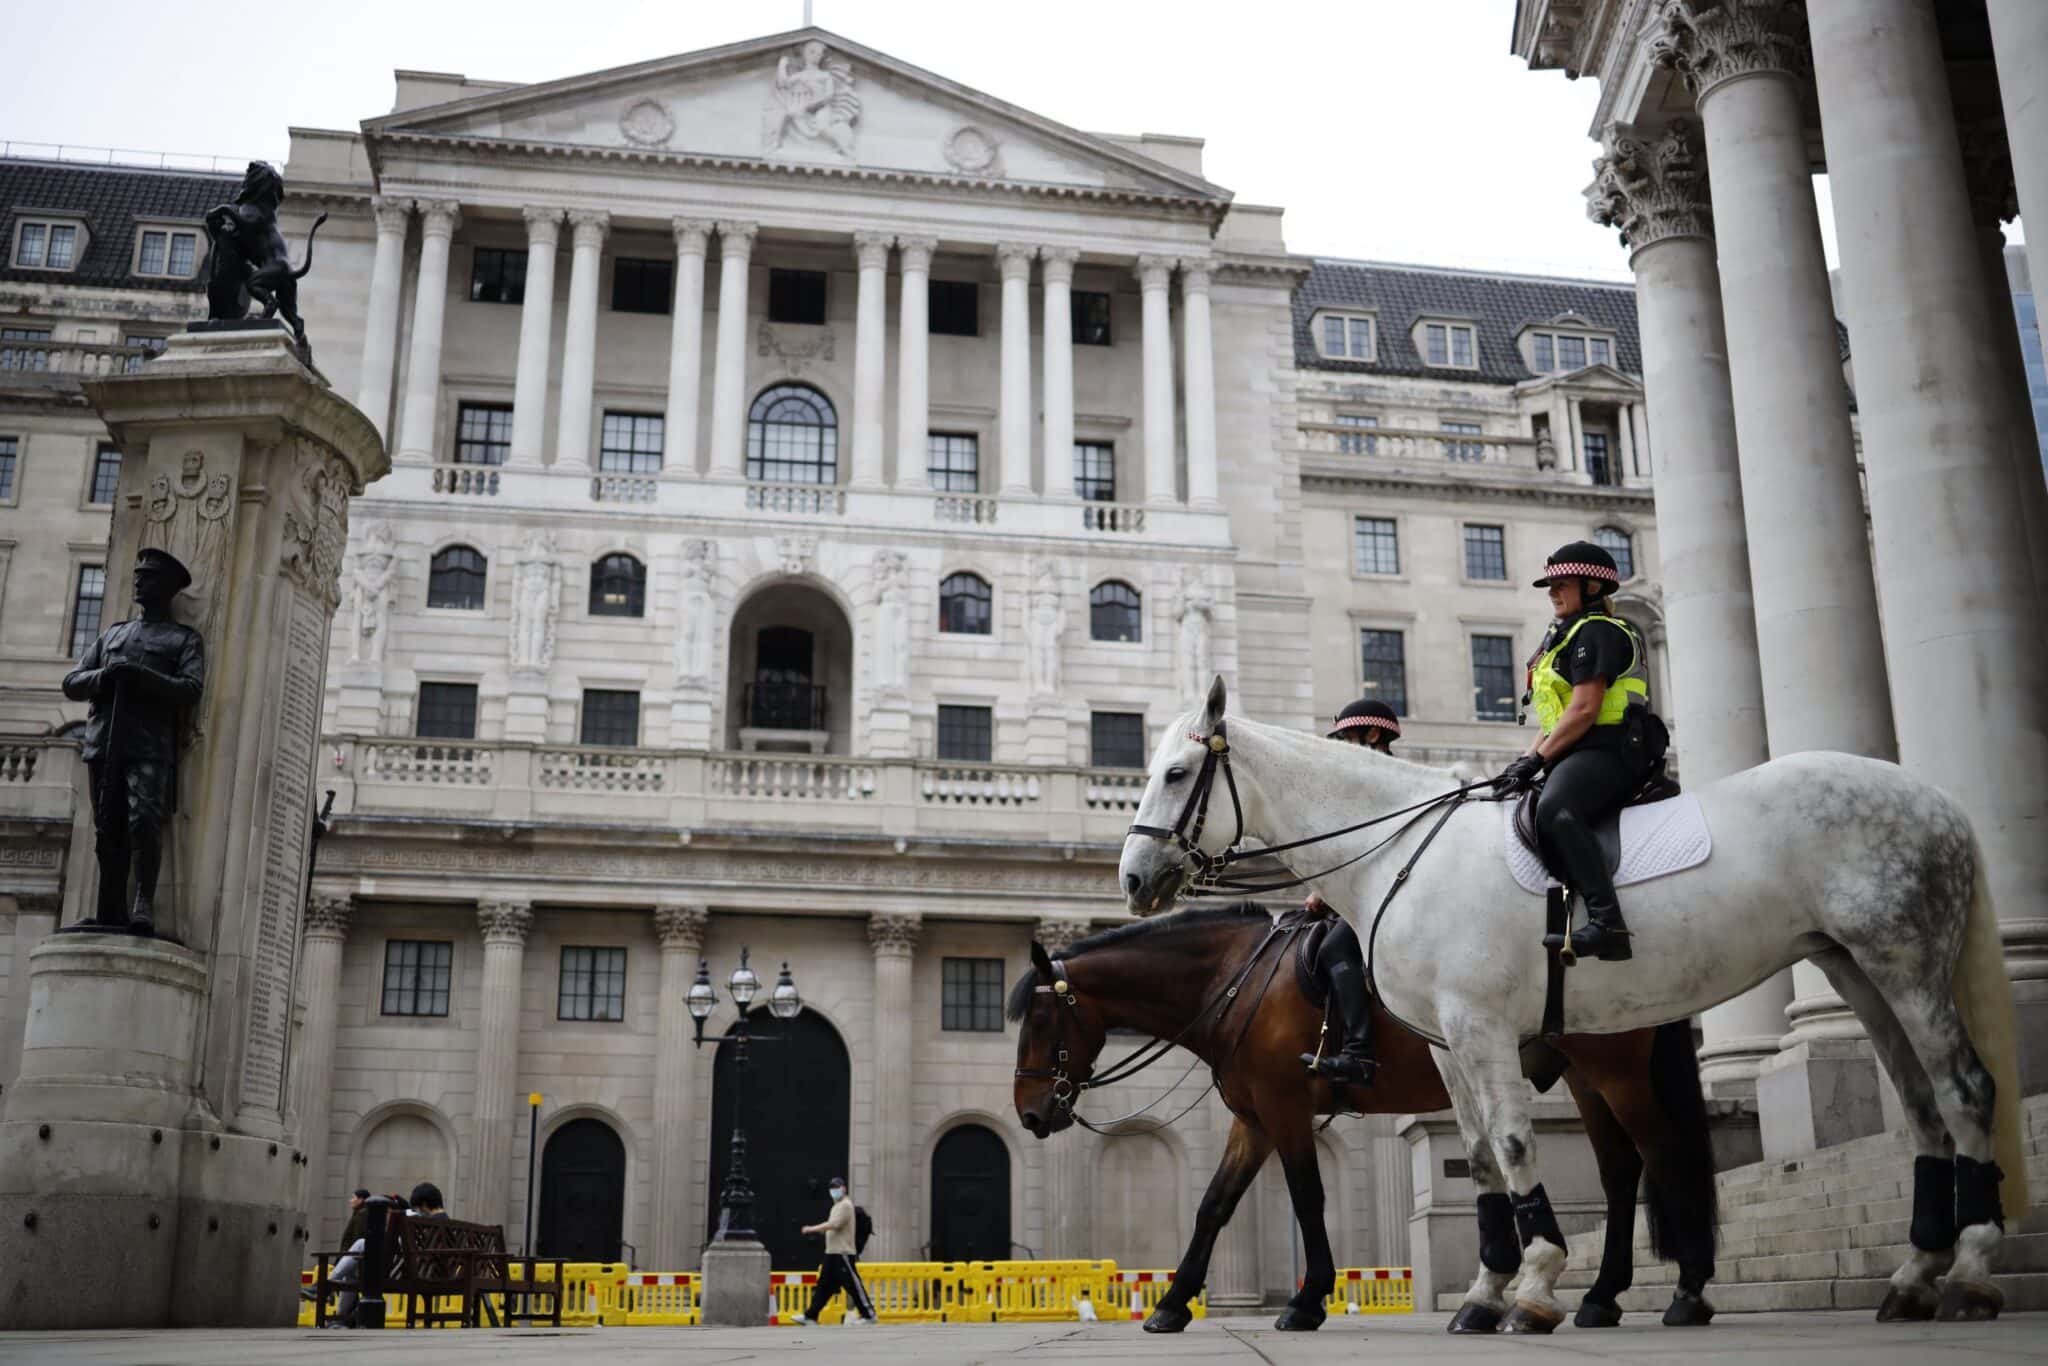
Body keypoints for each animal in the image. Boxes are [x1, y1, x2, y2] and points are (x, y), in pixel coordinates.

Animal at [1007, 909, 1712, 1335]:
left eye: (1039, 1020)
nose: (1030, 1112)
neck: (1238, 983)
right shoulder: (1251, 1120)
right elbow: (1213, 1206)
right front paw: (1173, 1305)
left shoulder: (1286, 1109)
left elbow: (1307, 1198)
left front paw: (1305, 1299)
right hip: (1584, 1076)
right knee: (1621, 1171)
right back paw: (1602, 1296)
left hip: (1613, 1069)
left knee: (1662, 1154)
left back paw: (1686, 1289)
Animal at [1122, 679, 2031, 1327]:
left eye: (1175, 774)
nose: (1133, 879)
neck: (1399, 852)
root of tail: (1934, 797)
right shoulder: (1447, 1043)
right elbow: (1480, 1156)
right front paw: (1487, 1291)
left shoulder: (1480, 1028)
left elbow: (1515, 1144)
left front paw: (1532, 1285)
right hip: (1853, 969)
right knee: (1917, 1105)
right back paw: (1911, 1276)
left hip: (1904, 963)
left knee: (1962, 1091)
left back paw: (1969, 1271)